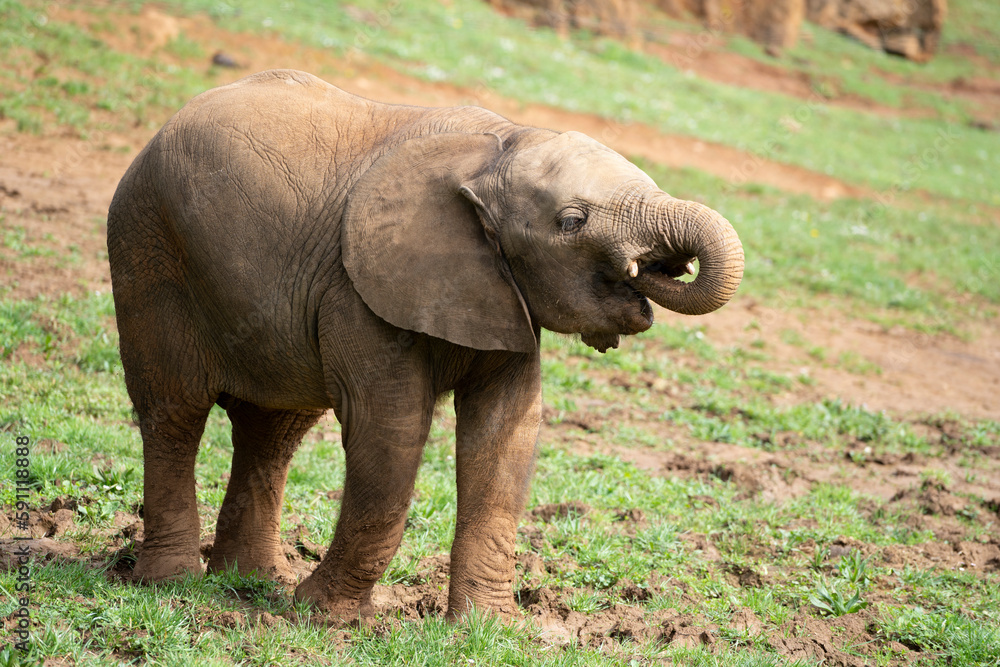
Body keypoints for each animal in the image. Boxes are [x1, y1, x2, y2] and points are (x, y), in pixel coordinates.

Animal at [106, 69, 743, 620]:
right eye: (571, 221)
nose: (665, 266)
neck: (498, 147)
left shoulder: (500, 293)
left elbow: (506, 434)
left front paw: (491, 628)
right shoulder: (356, 289)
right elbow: (391, 427)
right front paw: (328, 617)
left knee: (274, 430)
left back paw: (254, 581)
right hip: (148, 248)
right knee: (174, 412)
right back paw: (171, 583)